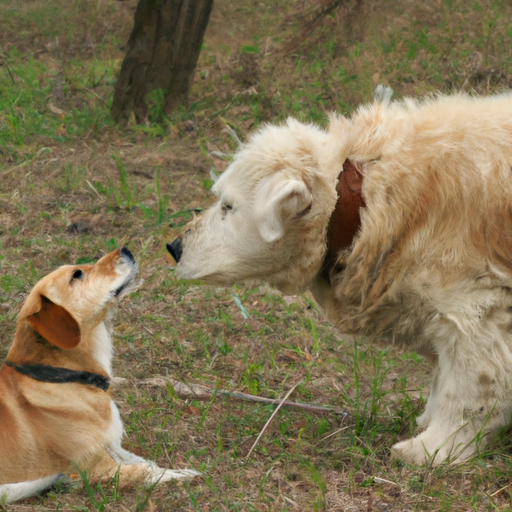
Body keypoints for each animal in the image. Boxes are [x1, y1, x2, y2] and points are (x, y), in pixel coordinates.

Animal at [0, 248, 199, 504]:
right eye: (77, 274)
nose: (125, 249)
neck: (59, 376)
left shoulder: (113, 448)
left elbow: (147, 462)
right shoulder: (99, 467)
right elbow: (150, 471)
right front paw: (186, 474)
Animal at [169, 91, 512, 464]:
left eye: (228, 207)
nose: (174, 247)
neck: (367, 199)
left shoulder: (475, 310)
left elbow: (471, 387)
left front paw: (434, 448)